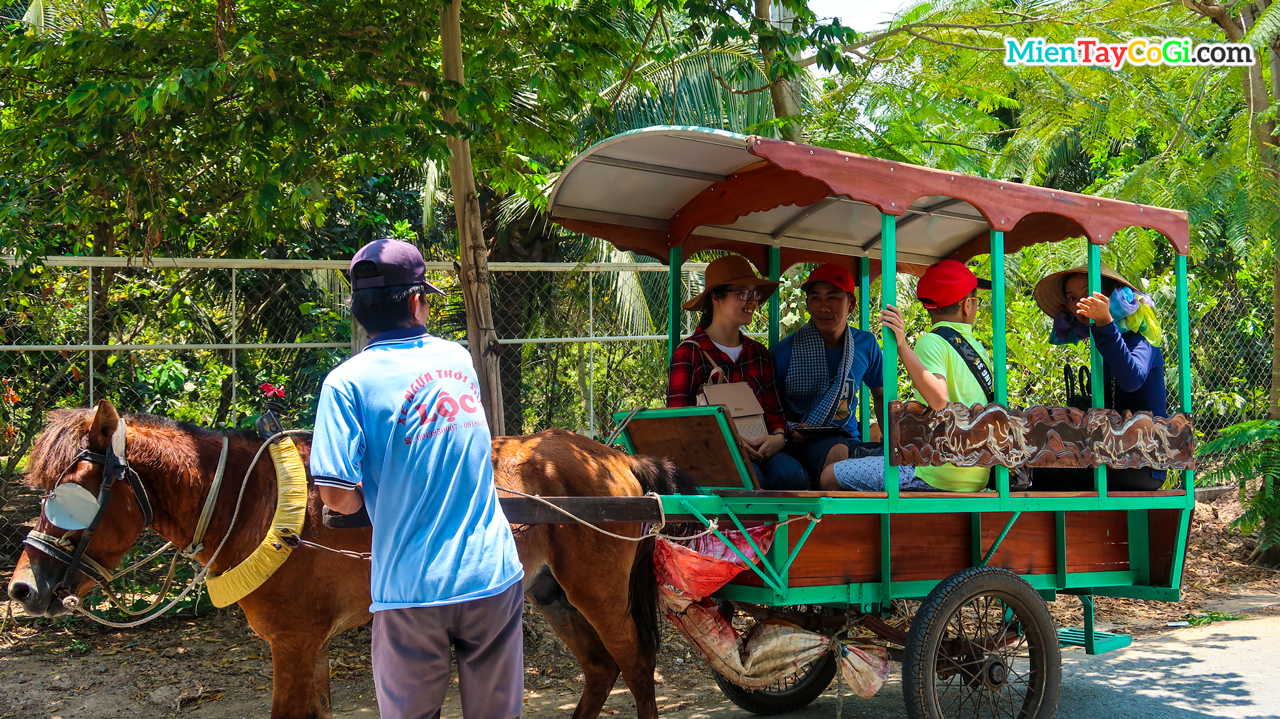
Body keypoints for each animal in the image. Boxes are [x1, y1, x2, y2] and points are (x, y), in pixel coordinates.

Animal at [7, 399, 691, 711]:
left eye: (72, 493)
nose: (22, 588)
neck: (256, 503)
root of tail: (613, 456)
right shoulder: (309, 644)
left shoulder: (293, 640)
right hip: (550, 592)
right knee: (600, 669)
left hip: (598, 591)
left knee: (635, 666)